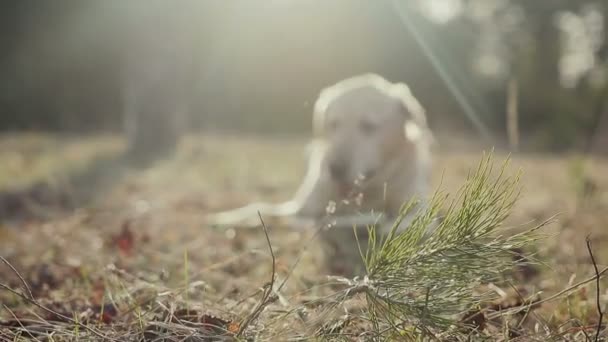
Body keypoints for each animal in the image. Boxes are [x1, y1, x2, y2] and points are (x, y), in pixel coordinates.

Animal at [207, 73, 434, 236]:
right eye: (333, 124)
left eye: (369, 126)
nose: (335, 169)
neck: (368, 191)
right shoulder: (301, 207)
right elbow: (261, 208)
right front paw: (228, 218)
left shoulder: (415, 204)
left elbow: (413, 218)